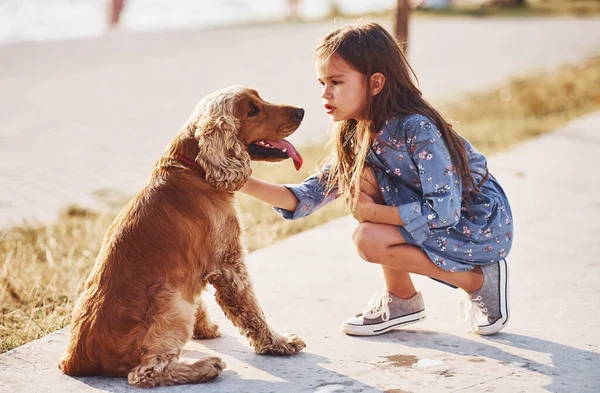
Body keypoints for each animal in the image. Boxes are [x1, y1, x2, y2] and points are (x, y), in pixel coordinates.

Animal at [57, 85, 304, 386]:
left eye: (261, 98)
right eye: (252, 109)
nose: (301, 111)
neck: (192, 169)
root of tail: (73, 362)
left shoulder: (194, 268)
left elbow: (202, 301)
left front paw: (205, 328)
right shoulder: (229, 262)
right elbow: (252, 311)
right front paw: (279, 343)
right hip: (172, 302)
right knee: (145, 373)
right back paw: (205, 366)